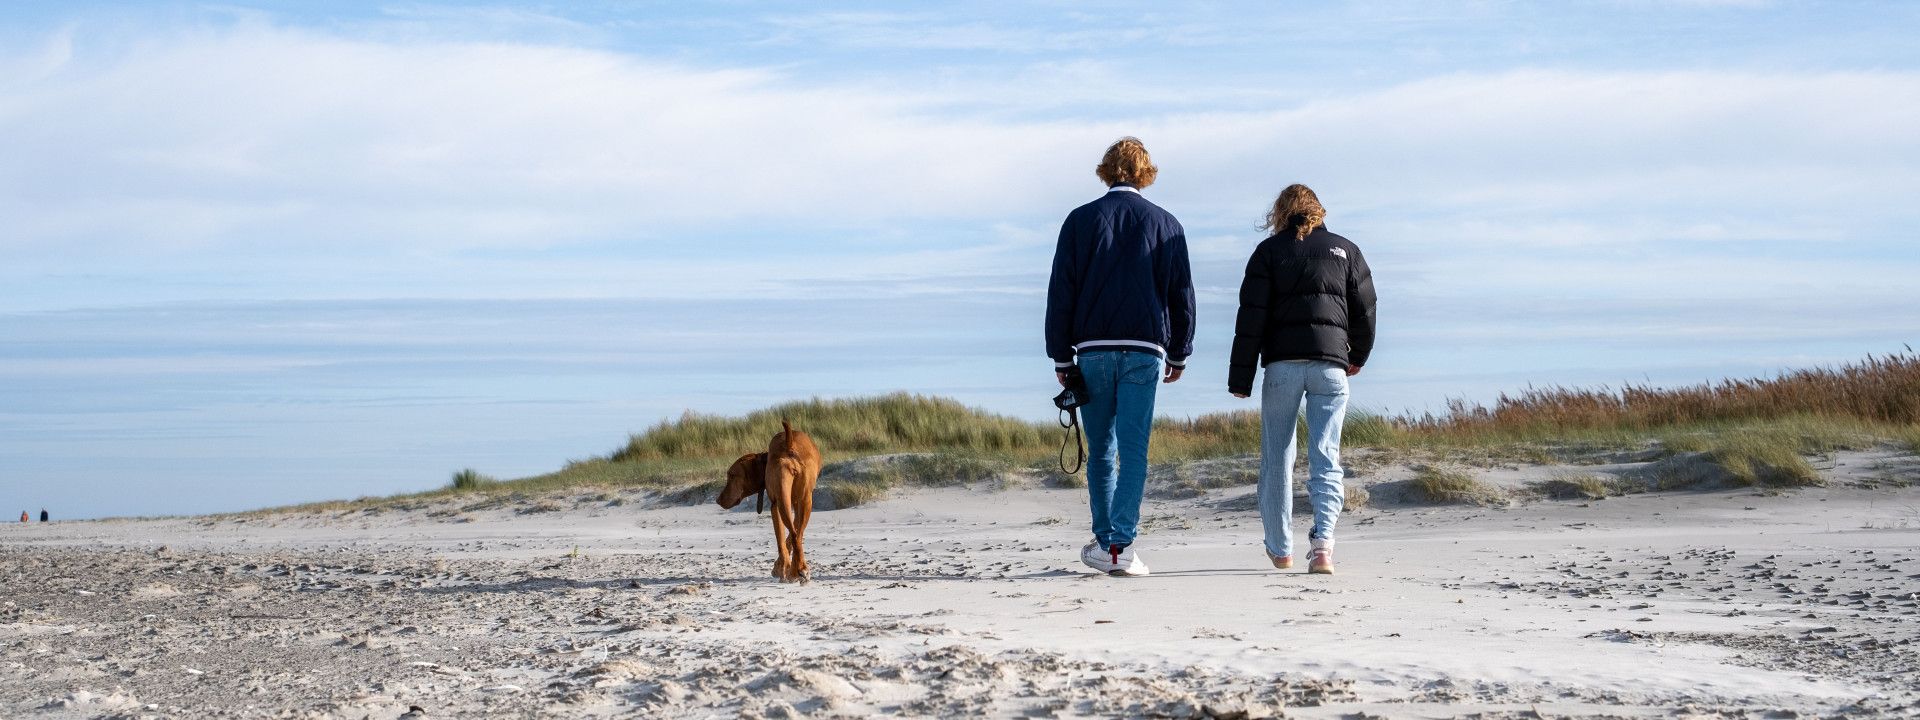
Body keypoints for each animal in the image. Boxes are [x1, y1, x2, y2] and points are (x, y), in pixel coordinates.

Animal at [714, 422, 817, 579]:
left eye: (731, 475)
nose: (718, 500)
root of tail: (789, 443)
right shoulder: (794, 502)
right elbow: (791, 536)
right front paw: (784, 567)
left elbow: (787, 538)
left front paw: (780, 567)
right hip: (796, 499)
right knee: (796, 534)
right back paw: (797, 569)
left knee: (793, 535)